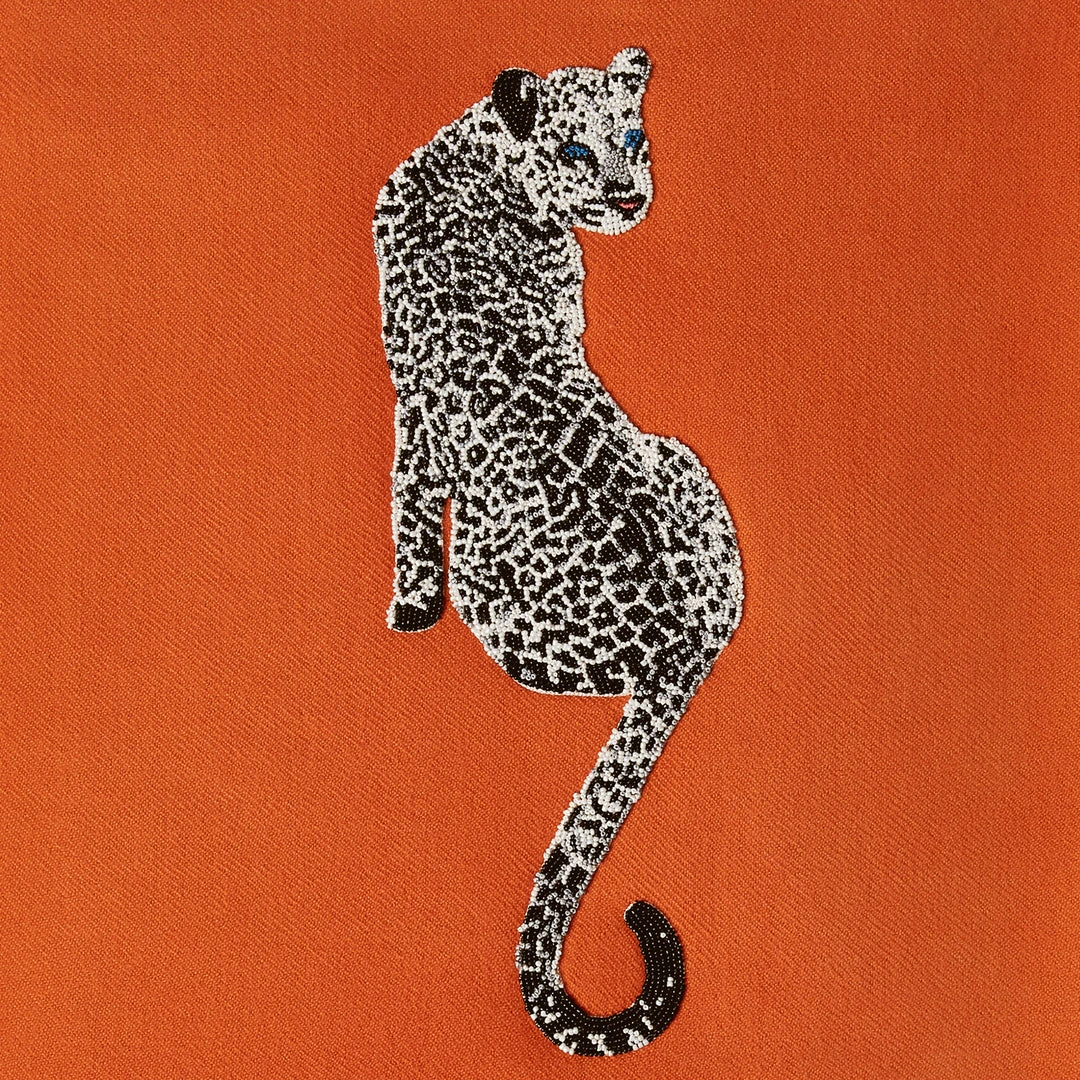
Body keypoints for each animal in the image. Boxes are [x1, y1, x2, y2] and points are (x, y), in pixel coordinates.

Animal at [372, 47, 743, 1056]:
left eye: (634, 136)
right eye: (578, 147)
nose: (626, 191)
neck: (472, 159)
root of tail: (686, 637)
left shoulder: (415, 410)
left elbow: (408, 503)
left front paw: (407, 607)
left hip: (488, 586)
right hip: (683, 459)